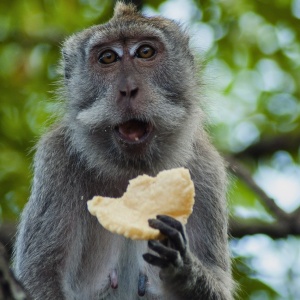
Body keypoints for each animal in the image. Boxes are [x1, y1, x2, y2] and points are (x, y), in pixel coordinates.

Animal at [12, 2, 234, 300]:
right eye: (108, 57)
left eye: (145, 52)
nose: (128, 89)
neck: (132, 171)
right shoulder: (56, 158)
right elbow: (41, 276)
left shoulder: (206, 170)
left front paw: (182, 267)